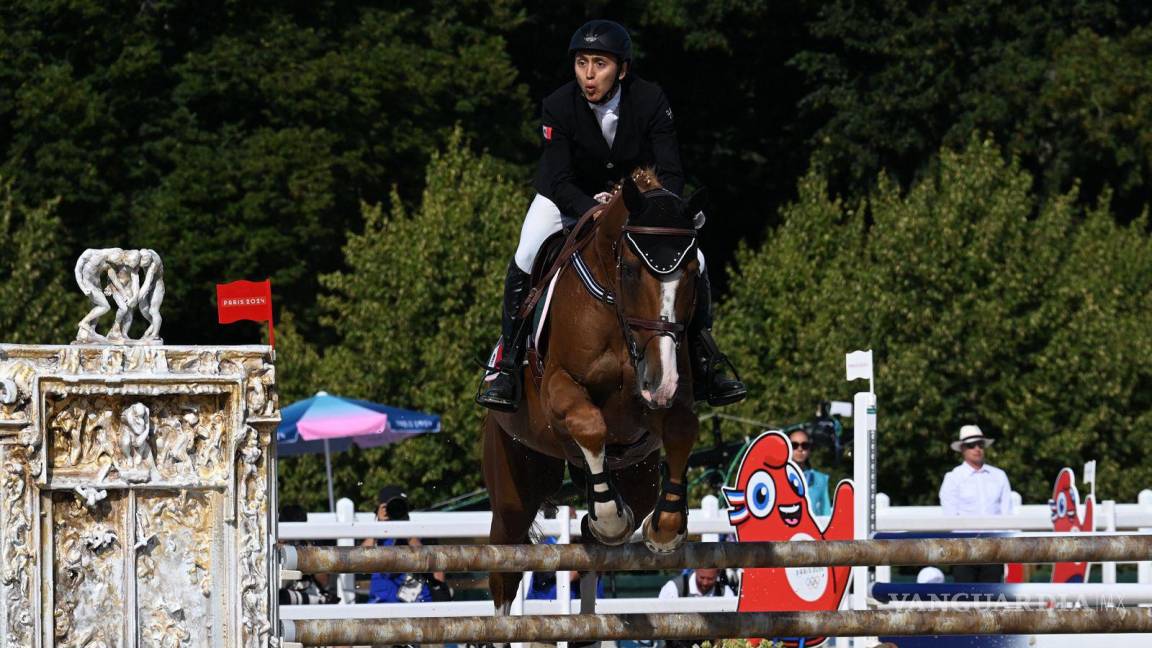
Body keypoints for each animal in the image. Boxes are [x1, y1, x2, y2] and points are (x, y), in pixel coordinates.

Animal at [479, 167, 709, 608]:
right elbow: (589, 424)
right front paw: (610, 518)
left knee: (591, 545)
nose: (659, 381)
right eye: (631, 270)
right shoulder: (559, 388)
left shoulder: (668, 399)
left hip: (636, 473)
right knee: (504, 569)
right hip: (514, 485)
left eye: (693, 275)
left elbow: (681, 428)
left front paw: (666, 527)